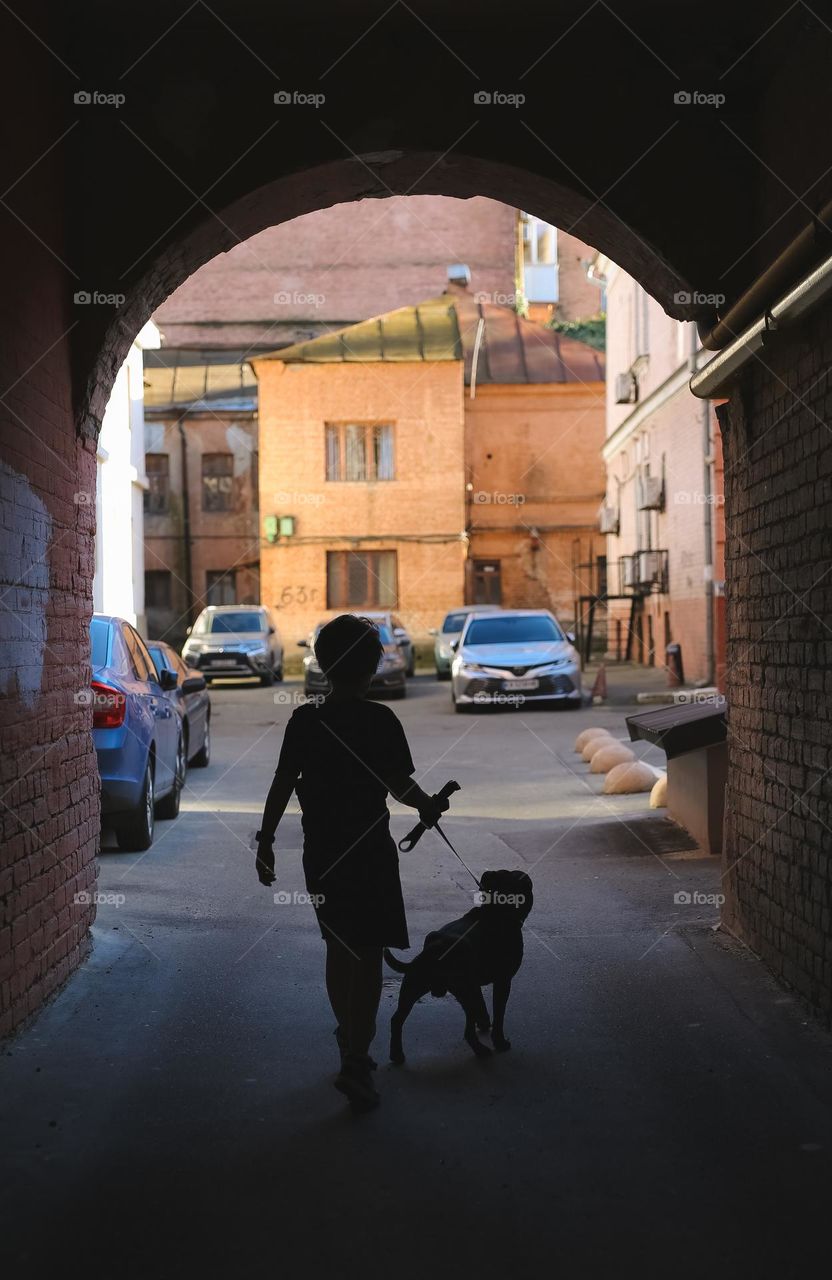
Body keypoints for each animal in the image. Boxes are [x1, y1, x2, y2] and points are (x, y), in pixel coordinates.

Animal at [381, 865, 532, 1064]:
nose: (526, 877)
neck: (493, 912)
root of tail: (433, 951)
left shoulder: (474, 986)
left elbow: (481, 1004)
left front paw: (484, 1021)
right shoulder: (503, 981)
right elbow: (499, 1014)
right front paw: (499, 1041)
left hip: (412, 987)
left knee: (397, 1019)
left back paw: (396, 1054)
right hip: (460, 991)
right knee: (468, 1030)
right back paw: (482, 1050)